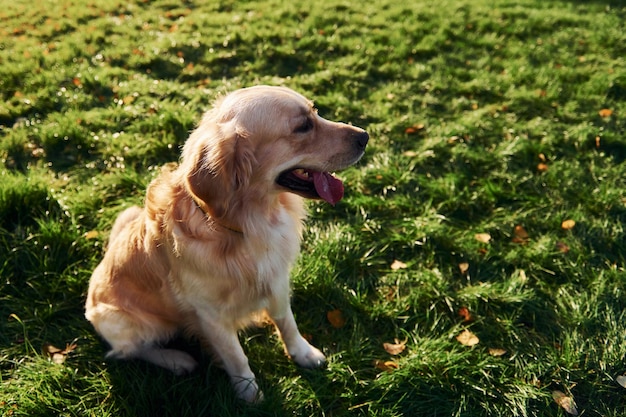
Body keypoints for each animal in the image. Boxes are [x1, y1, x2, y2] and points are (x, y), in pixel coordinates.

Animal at [83, 84, 366, 400]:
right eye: (303, 127)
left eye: (315, 112)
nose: (365, 136)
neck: (248, 225)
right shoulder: (210, 315)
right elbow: (235, 356)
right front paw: (249, 393)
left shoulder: (277, 281)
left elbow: (287, 322)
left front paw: (303, 353)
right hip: (129, 321)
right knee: (128, 351)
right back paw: (176, 359)